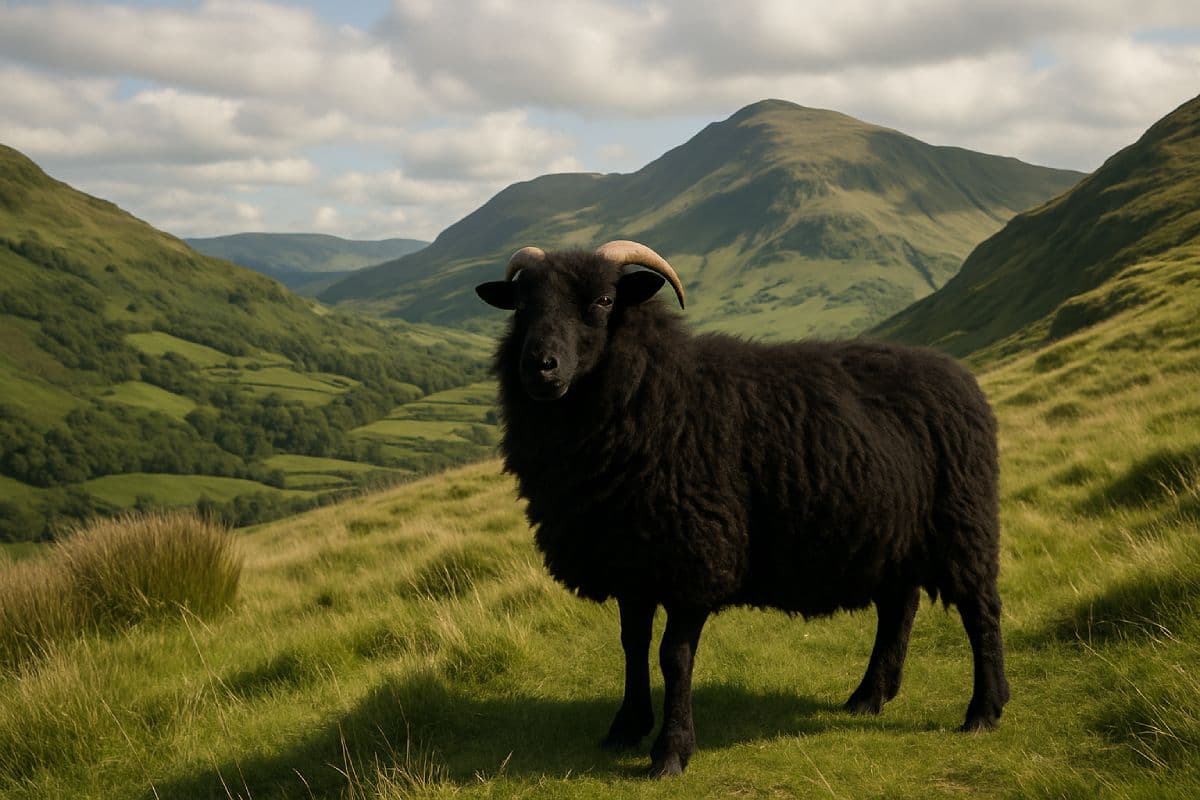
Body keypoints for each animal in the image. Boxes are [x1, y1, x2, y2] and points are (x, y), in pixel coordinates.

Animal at [475, 240, 1010, 777]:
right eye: (521, 305)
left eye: (604, 301)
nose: (539, 366)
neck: (657, 392)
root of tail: (959, 374)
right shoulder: (631, 561)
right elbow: (632, 644)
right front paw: (627, 727)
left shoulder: (696, 557)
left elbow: (673, 656)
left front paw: (671, 751)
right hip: (892, 534)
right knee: (899, 606)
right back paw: (869, 697)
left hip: (964, 523)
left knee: (980, 610)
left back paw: (984, 710)